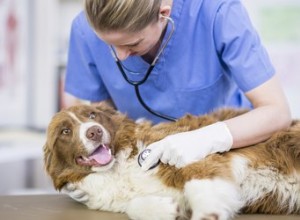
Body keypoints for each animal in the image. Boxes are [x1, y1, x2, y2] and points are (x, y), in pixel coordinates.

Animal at [42, 103, 300, 220]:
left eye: (92, 115)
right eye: (65, 131)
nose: (94, 131)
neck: (116, 167)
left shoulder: (197, 161)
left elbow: (199, 186)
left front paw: (207, 214)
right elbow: (133, 206)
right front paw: (167, 209)